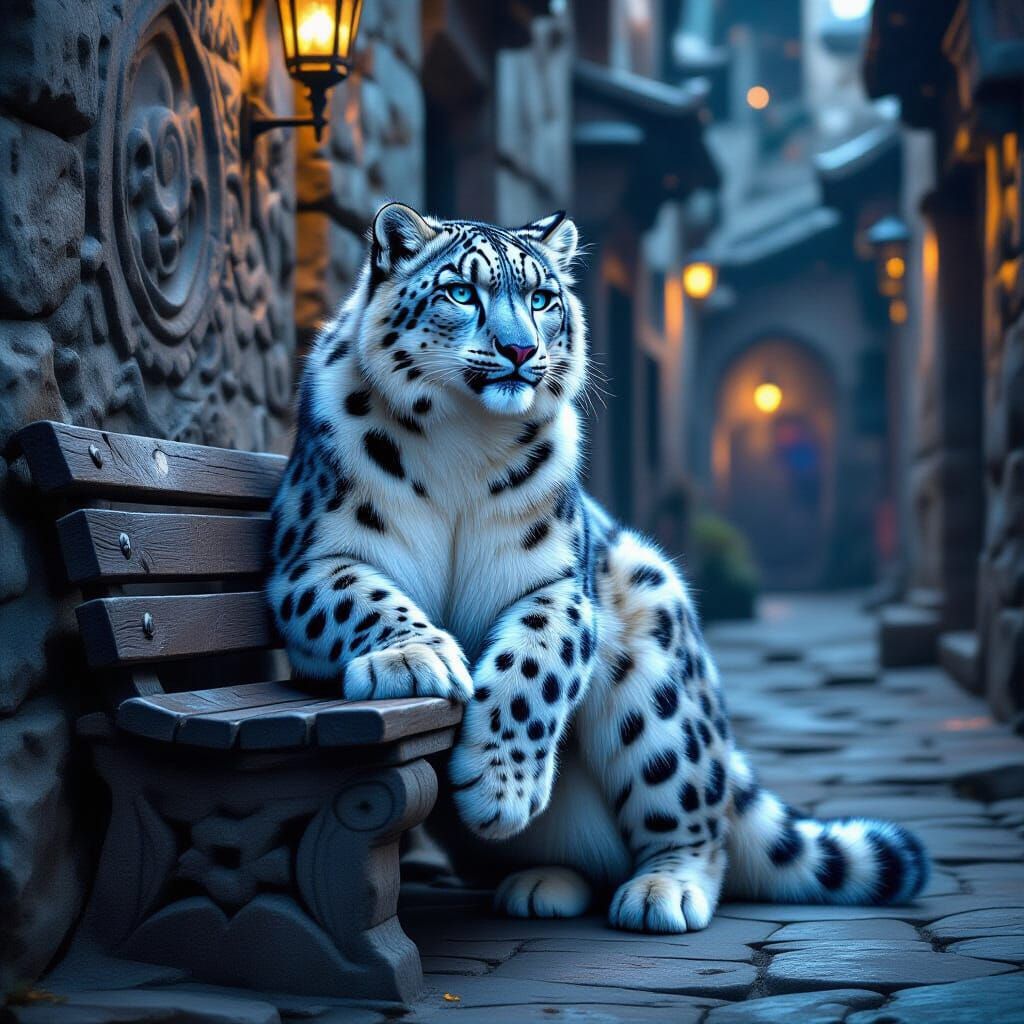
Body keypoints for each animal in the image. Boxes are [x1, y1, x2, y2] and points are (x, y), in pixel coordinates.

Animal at [266, 202, 929, 933]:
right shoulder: (311, 556)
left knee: (699, 818)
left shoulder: (556, 582)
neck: (461, 440)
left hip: (658, 652)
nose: (520, 349)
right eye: (461, 292)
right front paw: (417, 659)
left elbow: (532, 667)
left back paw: (663, 891)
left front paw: (499, 787)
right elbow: (360, 595)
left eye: (541, 299)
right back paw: (542, 882)